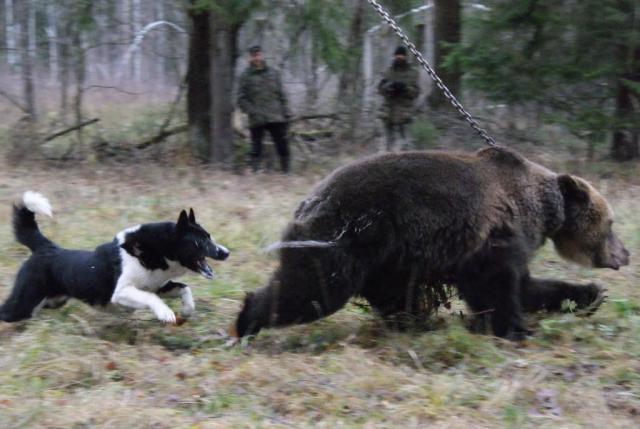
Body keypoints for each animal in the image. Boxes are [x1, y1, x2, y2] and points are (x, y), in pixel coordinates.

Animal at [0, 192, 230, 322]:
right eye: (200, 242)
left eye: (209, 236)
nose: (226, 252)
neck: (156, 249)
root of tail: (46, 247)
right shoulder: (121, 292)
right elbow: (152, 298)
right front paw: (165, 314)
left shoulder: (158, 286)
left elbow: (184, 289)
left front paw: (188, 311)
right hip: (22, 302)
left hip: (52, 301)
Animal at [231, 145, 632, 340]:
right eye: (611, 223)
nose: (625, 254)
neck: (539, 207)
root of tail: (306, 202)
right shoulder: (494, 236)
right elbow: (498, 288)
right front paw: (516, 329)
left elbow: (527, 285)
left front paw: (590, 294)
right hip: (347, 239)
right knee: (312, 291)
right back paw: (247, 321)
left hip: (384, 258)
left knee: (388, 296)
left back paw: (413, 323)